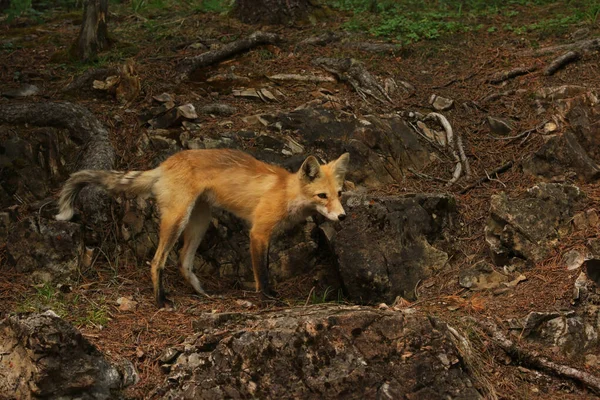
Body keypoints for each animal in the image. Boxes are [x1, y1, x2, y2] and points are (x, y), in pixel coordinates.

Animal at [55, 148, 350, 308]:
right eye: (322, 196)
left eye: (339, 194)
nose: (343, 217)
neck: (286, 193)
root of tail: (165, 164)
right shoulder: (258, 232)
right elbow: (263, 273)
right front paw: (268, 298)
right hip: (177, 219)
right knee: (157, 261)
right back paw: (160, 300)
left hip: (200, 221)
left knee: (183, 262)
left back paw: (203, 294)